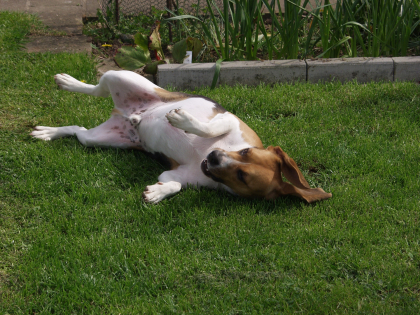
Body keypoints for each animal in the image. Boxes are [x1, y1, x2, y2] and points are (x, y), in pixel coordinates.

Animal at [29, 71, 334, 205]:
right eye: (246, 152)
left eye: (242, 177)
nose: (213, 156)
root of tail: (124, 111)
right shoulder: (229, 119)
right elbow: (210, 127)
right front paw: (183, 121)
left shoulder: (174, 174)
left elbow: (174, 185)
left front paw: (157, 192)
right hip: (121, 76)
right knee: (95, 88)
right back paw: (68, 82)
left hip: (99, 138)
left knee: (78, 130)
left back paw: (50, 132)